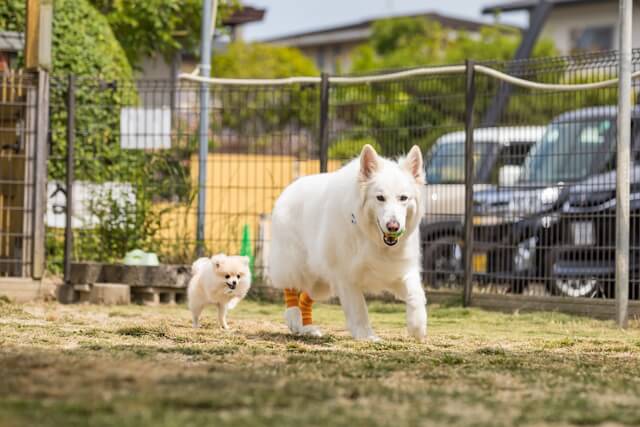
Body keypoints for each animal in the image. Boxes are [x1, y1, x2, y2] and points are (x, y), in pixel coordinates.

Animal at [268, 144, 428, 342]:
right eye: (380, 198)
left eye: (403, 198)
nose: (393, 226)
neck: (372, 238)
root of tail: (290, 187)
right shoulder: (346, 277)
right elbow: (359, 309)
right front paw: (367, 336)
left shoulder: (397, 270)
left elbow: (416, 294)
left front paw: (417, 326)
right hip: (296, 264)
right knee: (290, 286)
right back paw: (294, 318)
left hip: (321, 280)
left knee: (306, 296)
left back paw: (308, 328)